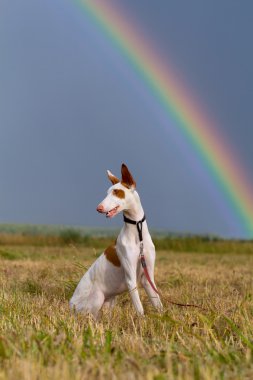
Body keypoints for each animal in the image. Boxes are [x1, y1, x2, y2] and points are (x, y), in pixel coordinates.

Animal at [70, 163, 163, 318]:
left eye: (117, 192)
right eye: (107, 193)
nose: (99, 208)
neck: (137, 233)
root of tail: (69, 306)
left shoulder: (147, 278)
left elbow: (158, 304)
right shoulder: (131, 280)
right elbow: (139, 309)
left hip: (110, 300)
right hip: (97, 296)